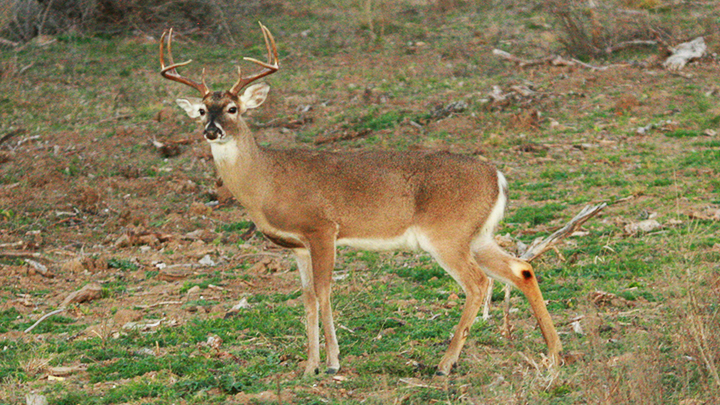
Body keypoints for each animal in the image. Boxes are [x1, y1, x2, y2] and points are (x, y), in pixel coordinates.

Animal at [159, 22, 564, 376]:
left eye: (233, 108)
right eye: (201, 110)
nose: (212, 131)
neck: (267, 180)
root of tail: (497, 176)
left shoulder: (323, 228)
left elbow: (324, 293)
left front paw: (332, 363)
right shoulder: (297, 247)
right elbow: (307, 299)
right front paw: (309, 367)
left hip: (447, 233)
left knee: (479, 283)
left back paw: (445, 363)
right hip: (476, 235)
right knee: (521, 269)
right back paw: (554, 354)